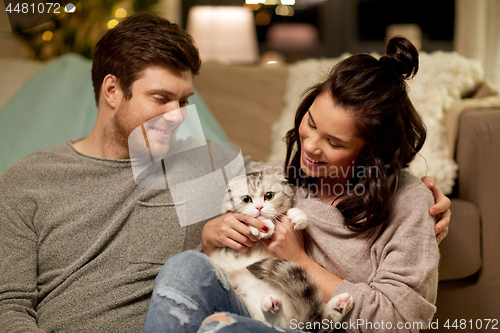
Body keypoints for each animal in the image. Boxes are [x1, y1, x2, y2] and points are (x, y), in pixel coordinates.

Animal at [209, 170, 354, 330]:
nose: (259, 208)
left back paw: (338, 305)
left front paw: (298, 217)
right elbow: (245, 220)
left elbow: (291, 212)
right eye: (246, 199)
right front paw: (263, 226)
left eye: (269, 196)